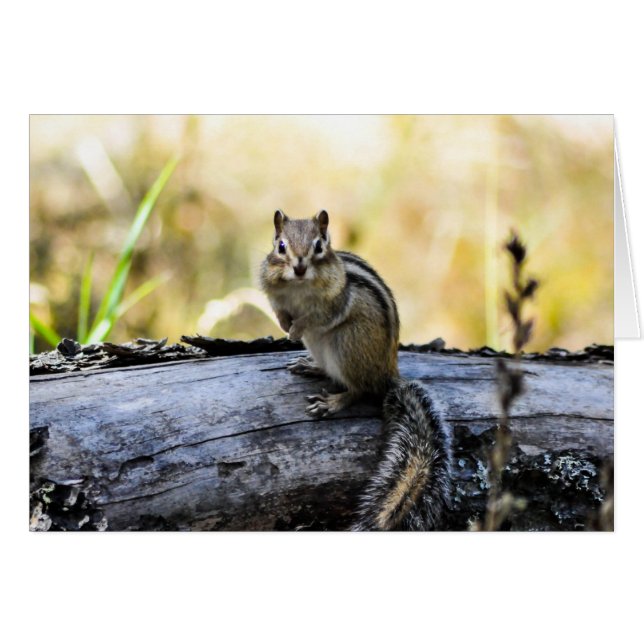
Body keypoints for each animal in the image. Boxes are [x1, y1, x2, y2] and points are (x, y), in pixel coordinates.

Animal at [259, 209, 452, 530]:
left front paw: (296, 327)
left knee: (359, 389)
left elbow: (317, 317)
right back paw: (312, 366)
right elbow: (278, 310)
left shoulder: (335, 302)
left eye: (319, 245)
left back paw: (334, 401)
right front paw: (286, 325)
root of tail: (387, 376)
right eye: (281, 246)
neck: (298, 287)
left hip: (347, 343)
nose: (299, 267)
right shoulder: (273, 292)